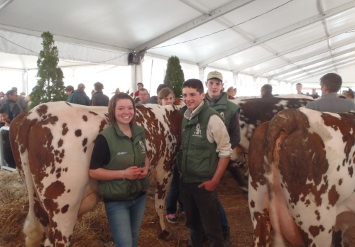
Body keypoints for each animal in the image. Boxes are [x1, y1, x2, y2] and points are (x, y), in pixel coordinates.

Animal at [10, 101, 184, 246]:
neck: (169, 116)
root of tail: (35, 114)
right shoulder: (166, 168)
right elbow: (160, 203)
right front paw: (164, 231)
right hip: (65, 205)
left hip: (37, 199)